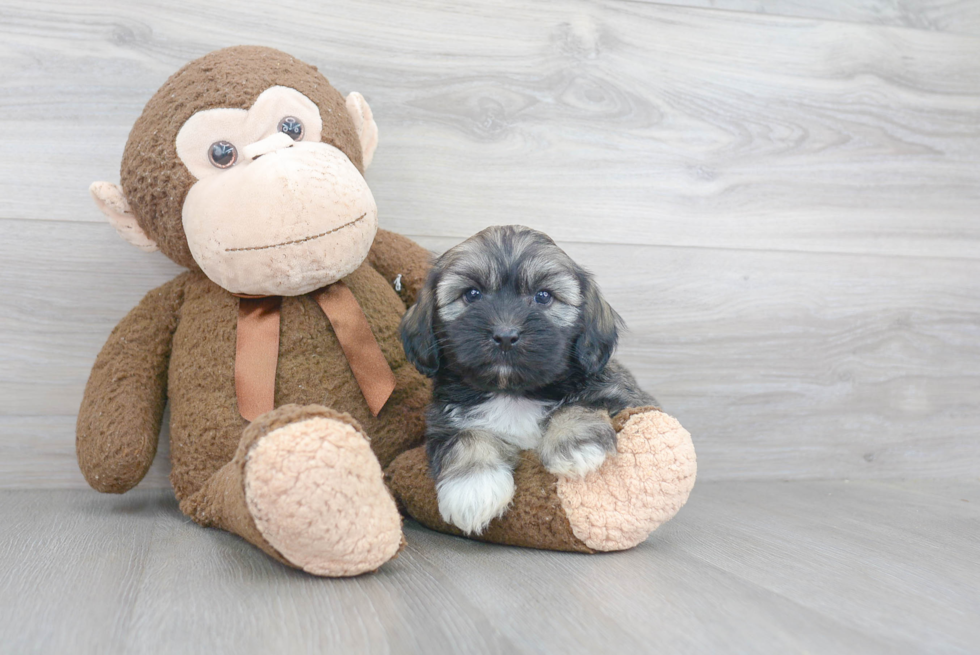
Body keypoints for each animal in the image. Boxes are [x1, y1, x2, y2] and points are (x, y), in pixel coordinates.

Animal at [398, 228, 660, 536]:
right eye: (472, 294)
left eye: (543, 296)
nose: (505, 335)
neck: (514, 393)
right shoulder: (444, 421)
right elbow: (466, 436)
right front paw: (473, 486)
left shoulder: (619, 393)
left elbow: (579, 403)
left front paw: (575, 443)